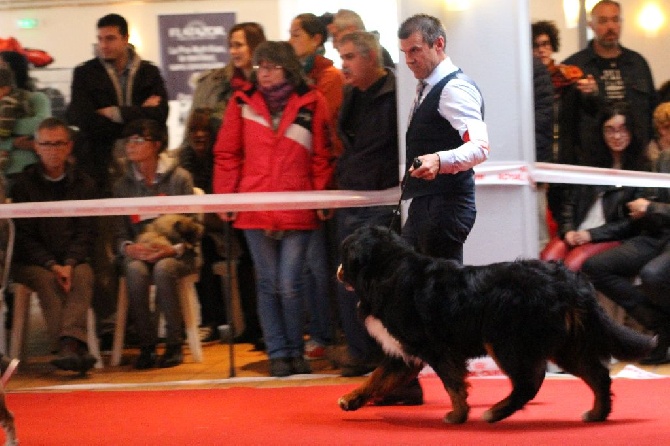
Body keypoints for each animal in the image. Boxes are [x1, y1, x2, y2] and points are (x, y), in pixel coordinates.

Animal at [336, 226, 656, 426]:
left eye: (343, 253)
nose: (337, 270)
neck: (387, 271)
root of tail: (567, 278)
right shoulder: (404, 353)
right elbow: (376, 378)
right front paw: (351, 399)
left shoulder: (435, 349)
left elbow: (453, 384)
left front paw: (457, 416)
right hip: (564, 345)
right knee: (599, 376)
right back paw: (597, 413)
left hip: (506, 341)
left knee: (529, 383)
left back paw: (495, 413)